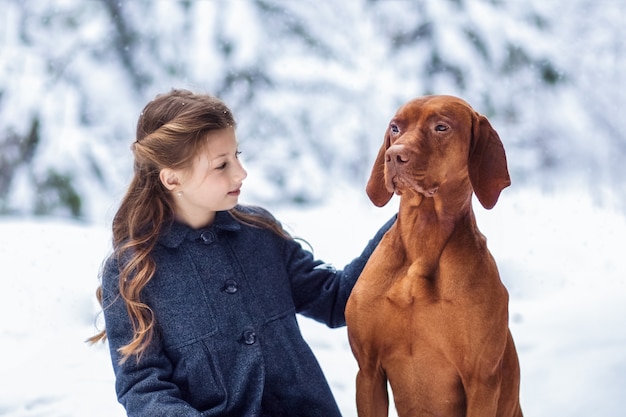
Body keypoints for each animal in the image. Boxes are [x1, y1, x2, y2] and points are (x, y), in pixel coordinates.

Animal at [346, 95, 520, 416]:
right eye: (395, 128)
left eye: (441, 127)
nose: (394, 156)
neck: (423, 234)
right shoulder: (367, 371)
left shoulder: (481, 382)